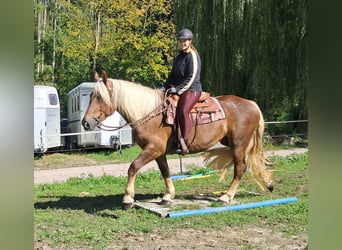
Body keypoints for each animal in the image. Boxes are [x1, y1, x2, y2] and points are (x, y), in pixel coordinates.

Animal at [83, 73, 276, 209]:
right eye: (90, 96)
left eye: (99, 97)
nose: (86, 123)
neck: (151, 114)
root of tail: (252, 104)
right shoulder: (158, 152)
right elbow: (165, 171)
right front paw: (168, 196)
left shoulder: (153, 148)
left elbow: (133, 167)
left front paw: (128, 198)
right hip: (234, 143)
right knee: (254, 162)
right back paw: (268, 183)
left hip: (239, 144)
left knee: (240, 169)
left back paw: (226, 197)